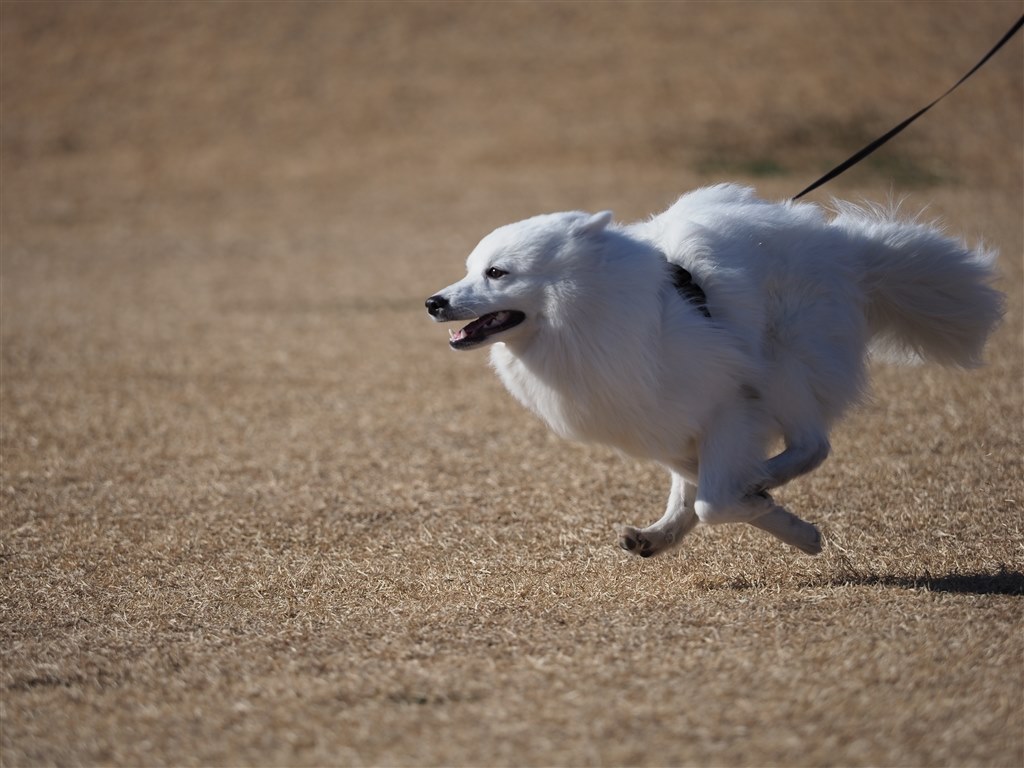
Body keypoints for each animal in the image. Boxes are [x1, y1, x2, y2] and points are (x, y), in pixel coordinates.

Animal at [421, 186, 999, 561]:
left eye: (497, 273)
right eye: (471, 268)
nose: (432, 302)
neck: (588, 313)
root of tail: (848, 252)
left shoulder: (730, 406)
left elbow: (715, 500)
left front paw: (790, 524)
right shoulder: (655, 421)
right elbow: (698, 488)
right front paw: (770, 516)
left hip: (782, 366)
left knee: (812, 445)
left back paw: (762, 479)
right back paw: (659, 534)